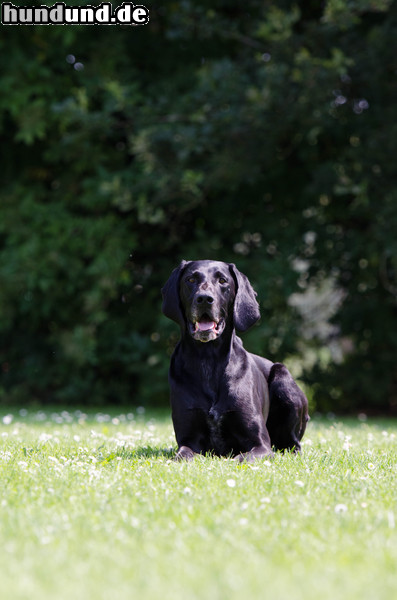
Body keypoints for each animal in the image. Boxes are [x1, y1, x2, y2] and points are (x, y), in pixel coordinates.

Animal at [161, 260, 310, 462]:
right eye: (190, 279)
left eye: (223, 280)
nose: (204, 298)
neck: (208, 359)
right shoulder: (188, 440)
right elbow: (184, 455)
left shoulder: (261, 445)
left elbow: (242, 457)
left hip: (284, 381)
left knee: (293, 445)